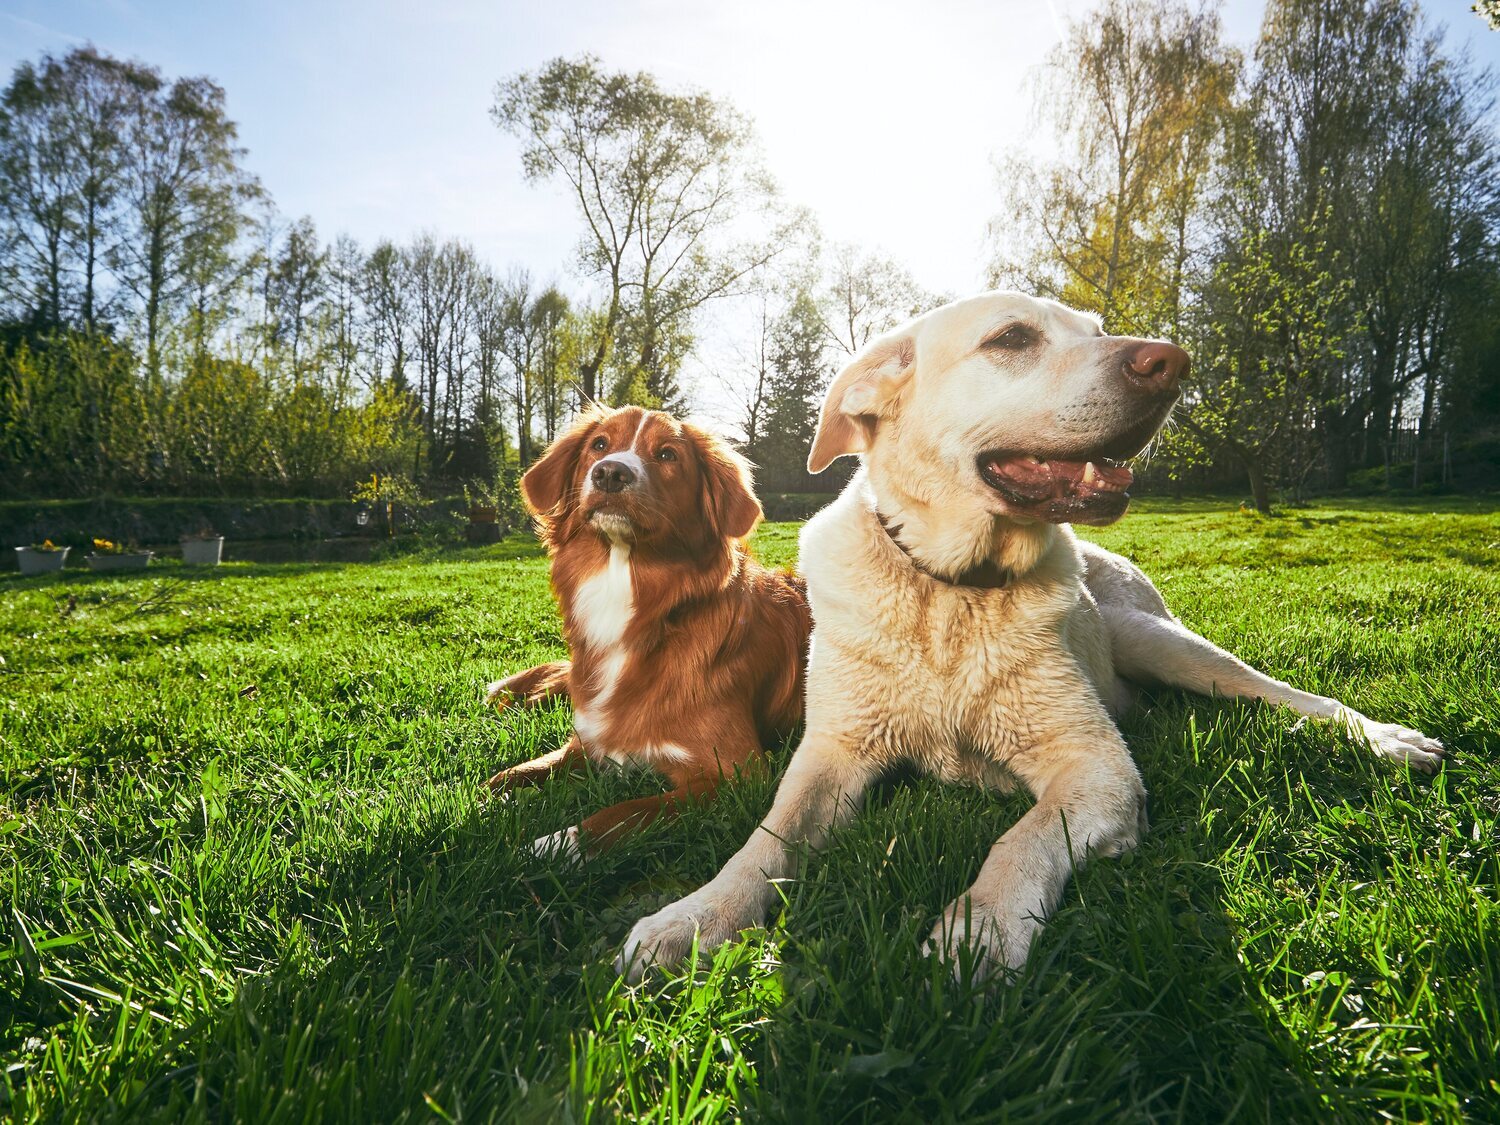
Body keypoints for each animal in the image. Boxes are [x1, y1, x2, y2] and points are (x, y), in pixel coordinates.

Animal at [483, 411, 810, 858]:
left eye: (668, 454)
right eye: (599, 445)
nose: (609, 474)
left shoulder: (737, 775)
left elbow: (626, 812)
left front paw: (550, 846)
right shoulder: (587, 741)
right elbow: (513, 774)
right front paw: (495, 796)